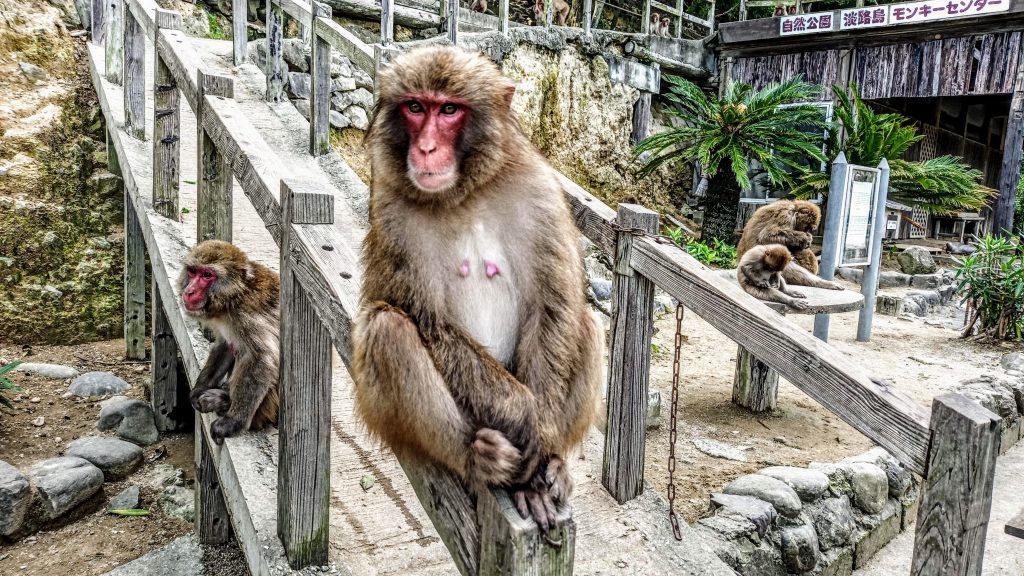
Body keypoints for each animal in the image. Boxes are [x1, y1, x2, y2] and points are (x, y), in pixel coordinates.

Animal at [178, 239, 278, 440]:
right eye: (193, 271)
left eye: (207, 275)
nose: (189, 291)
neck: (234, 297)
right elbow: (226, 345)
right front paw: (199, 389)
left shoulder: (246, 317)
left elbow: (261, 358)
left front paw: (233, 421)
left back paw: (225, 402)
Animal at [356, 45, 602, 528]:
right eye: (416, 107)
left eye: (449, 110)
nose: (426, 148)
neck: (463, 193)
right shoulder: (391, 212)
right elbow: (430, 323)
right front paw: (524, 418)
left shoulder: (539, 191)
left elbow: (553, 305)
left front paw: (542, 435)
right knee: (386, 328)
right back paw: (479, 457)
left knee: (585, 321)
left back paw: (551, 464)